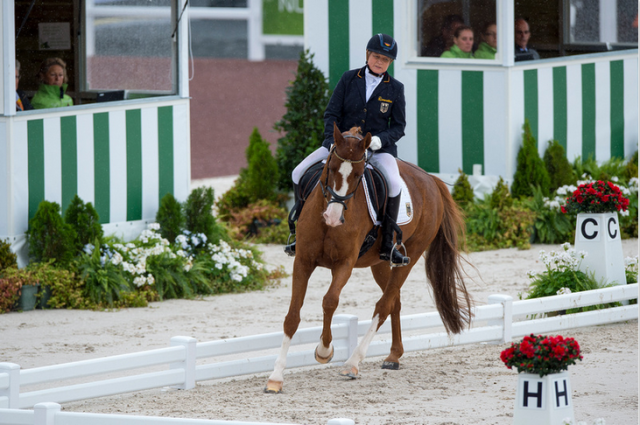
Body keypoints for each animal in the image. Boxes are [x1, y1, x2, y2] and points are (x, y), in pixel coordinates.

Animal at [264, 124, 470, 392]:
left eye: (359, 174)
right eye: (330, 168)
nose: (332, 217)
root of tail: (431, 180)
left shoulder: (345, 263)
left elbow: (330, 301)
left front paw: (324, 350)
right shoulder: (303, 261)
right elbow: (292, 316)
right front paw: (276, 377)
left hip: (411, 255)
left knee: (383, 305)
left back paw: (352, 363)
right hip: (379, 263)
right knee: (394, 301)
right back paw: (393, 356)